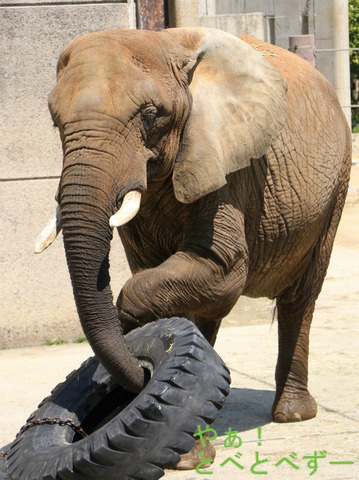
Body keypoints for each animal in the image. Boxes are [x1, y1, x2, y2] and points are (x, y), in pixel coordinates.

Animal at [35, 28, 352, 436]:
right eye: (56, 123)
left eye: (150, 116)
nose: (141, 376)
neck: (164, 44)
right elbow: (162, 273)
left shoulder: (227, 164)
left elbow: (223, 267)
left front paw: (130, 328)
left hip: (335, 187)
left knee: (300, 297)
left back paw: (292, 414)